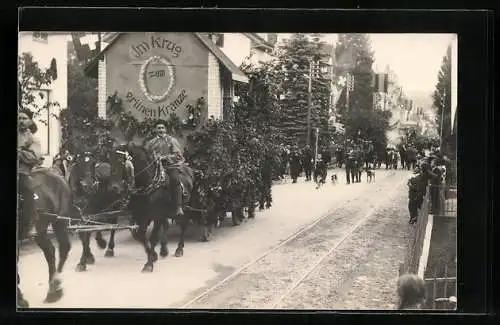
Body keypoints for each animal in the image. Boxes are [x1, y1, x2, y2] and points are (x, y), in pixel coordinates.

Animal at [17, 167, 78, 304]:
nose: (34, 217)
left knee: (64, 247)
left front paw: (20, 299)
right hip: (42, 230)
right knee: (50, 251)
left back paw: (55, 285)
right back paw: (53, 289)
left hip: (59, 221)